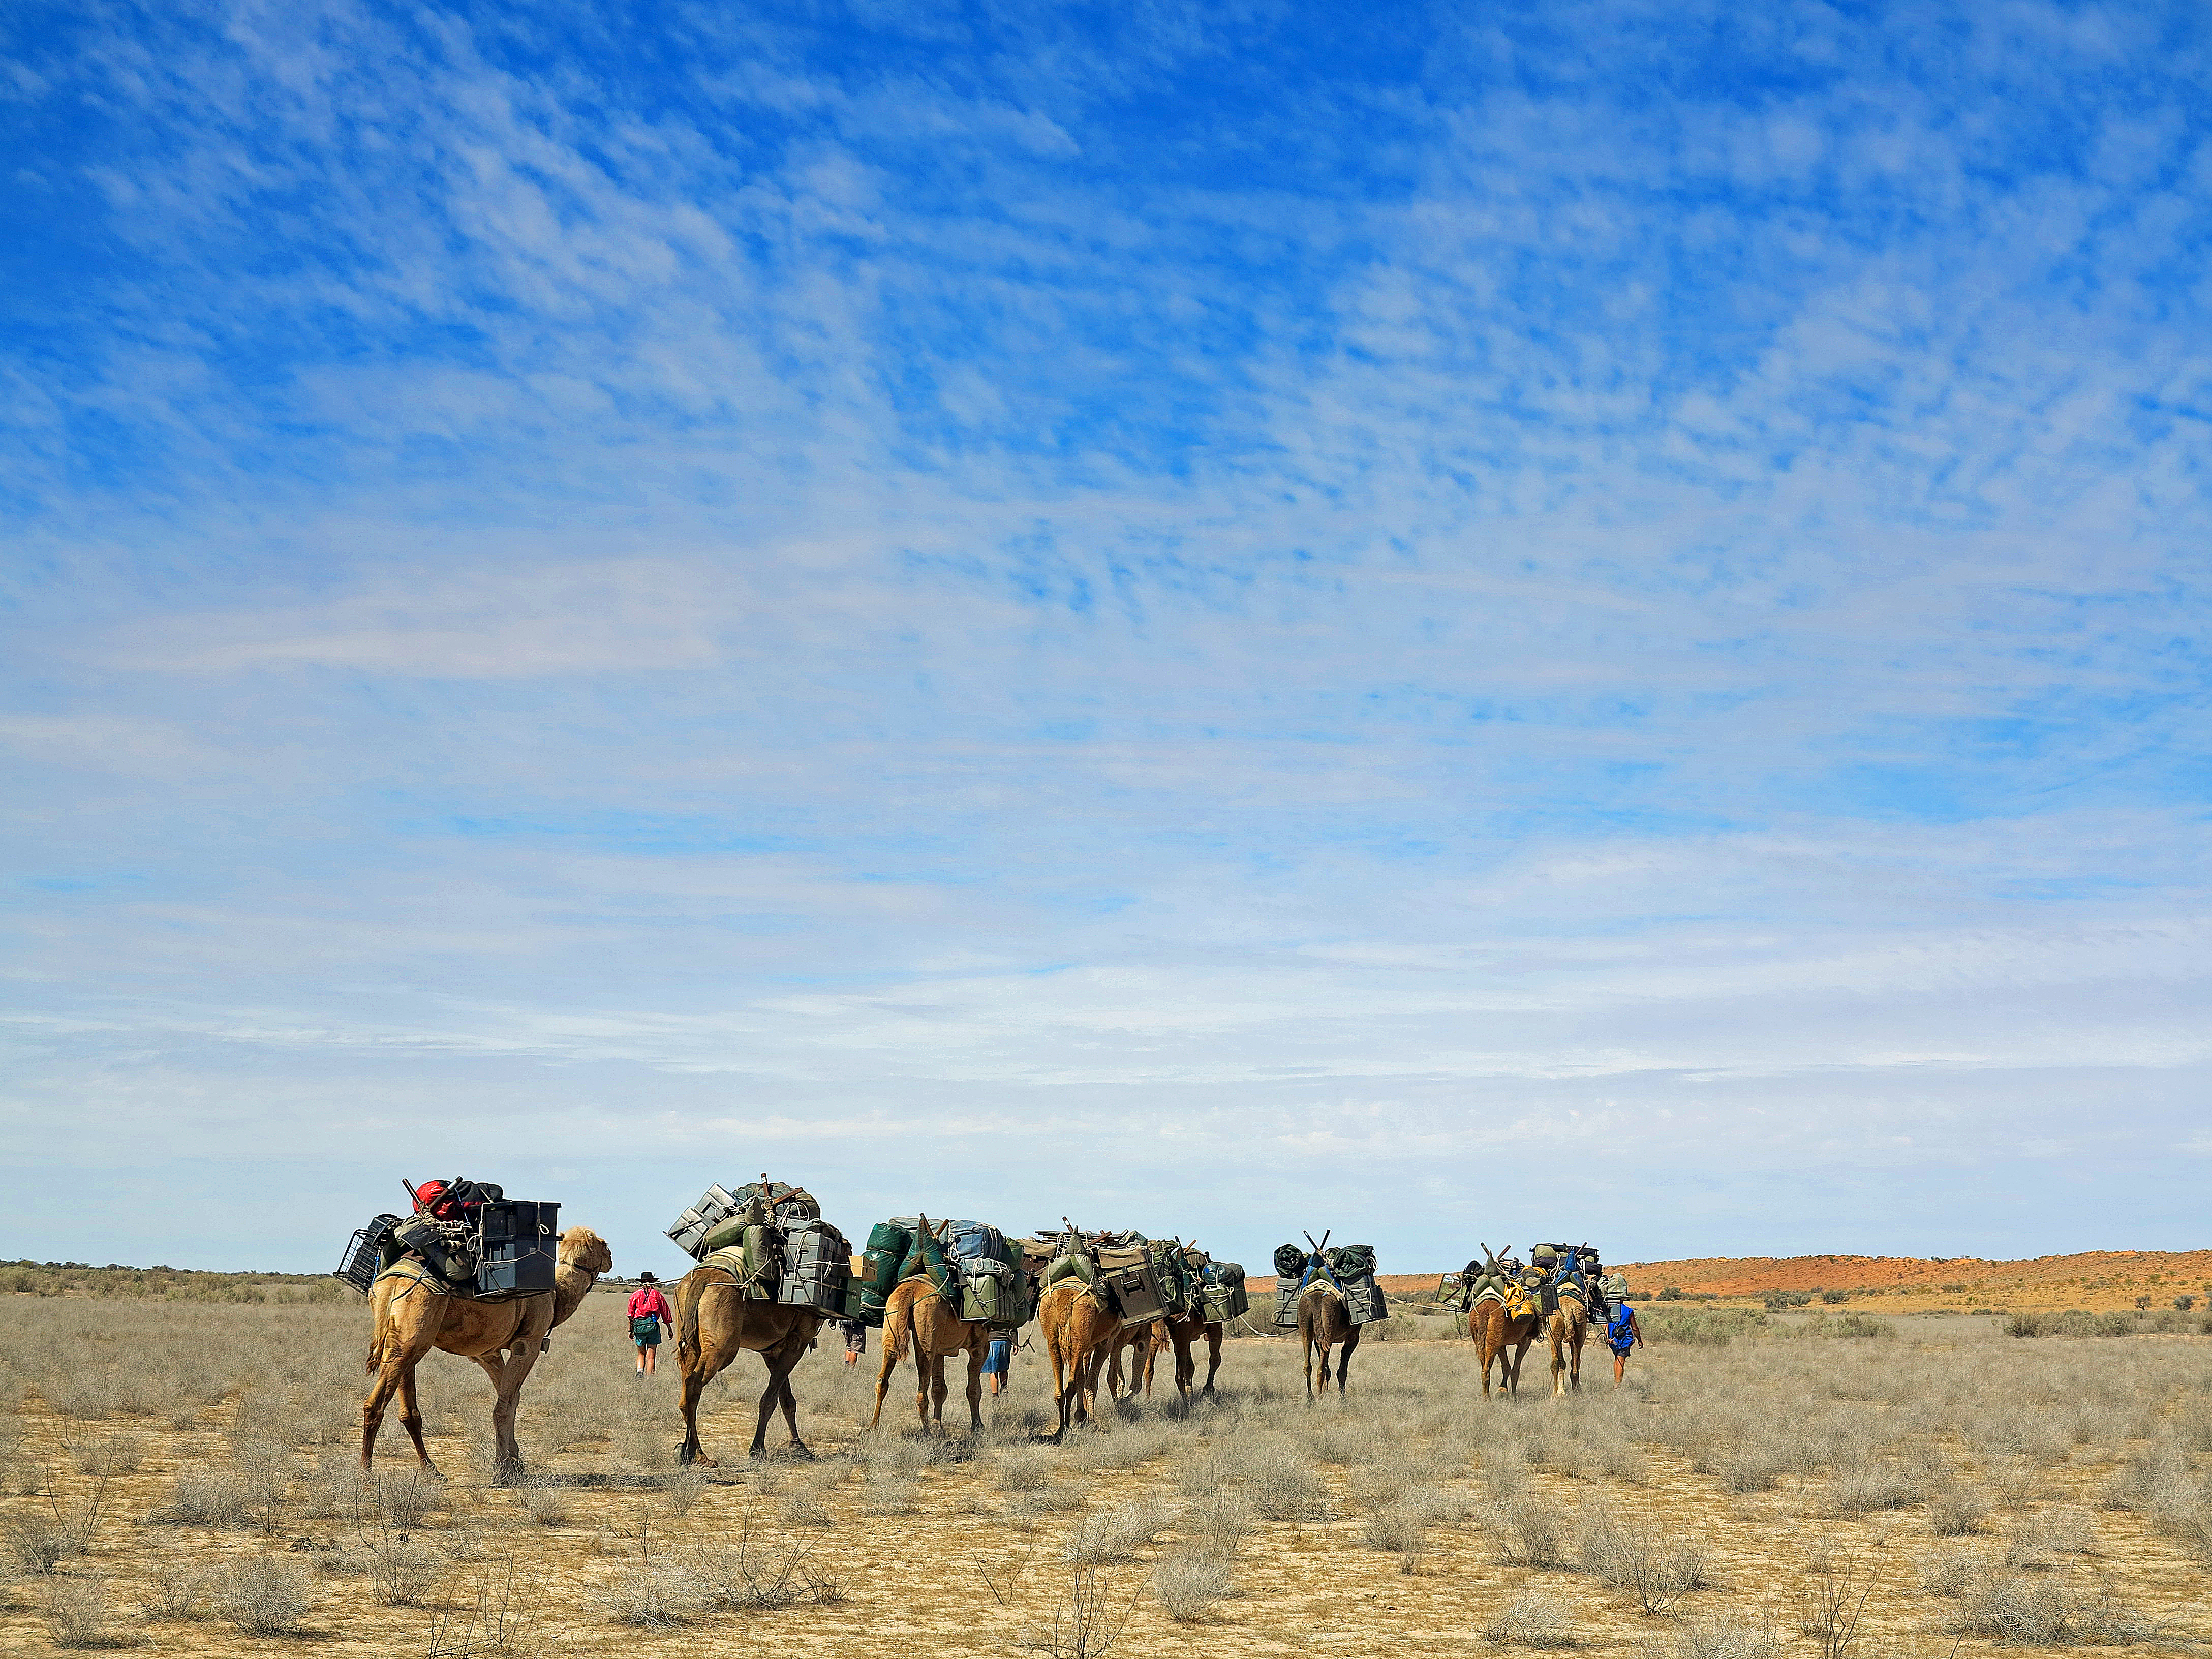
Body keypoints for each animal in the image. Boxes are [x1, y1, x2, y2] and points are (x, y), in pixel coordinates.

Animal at [362, 1226, 612, 1480]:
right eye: (603, 1244)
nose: (611, 1258)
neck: (555, 1295)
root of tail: (392, 1281)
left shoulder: (487, 1354)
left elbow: (512, 1400)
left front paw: (516, 1461)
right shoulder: (528, 1345)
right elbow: (504, 1406)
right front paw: (504, 1468)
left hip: (403, 1339)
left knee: (408, 1409)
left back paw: (431, 1469)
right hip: (415, 1328)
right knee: (375, 1403)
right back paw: (366, 1471)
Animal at [672, 1264, 822, 1466]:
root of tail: (702, 1279)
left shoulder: (772, 1350)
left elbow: (786, 1399)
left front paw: (799, 1447)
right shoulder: (798, 1341)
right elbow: (770, 1399)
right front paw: (758, 1449)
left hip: (688, 1334)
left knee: (685, 1386)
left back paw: (685, 1450)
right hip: (722, 1343)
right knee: (694, 1384)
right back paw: (699, 1454)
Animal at [869, 1275, 991, 1433]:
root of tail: (910, 1290)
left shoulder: (939, 1350)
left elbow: (939, 1389)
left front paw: (938, 1425)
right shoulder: (979, 1345)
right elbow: (974, 1390)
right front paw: (977, 1426)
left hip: (892, 1317)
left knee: (883, 1377)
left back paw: (873, 1425)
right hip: (927, 1327)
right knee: (922, 1384)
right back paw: (926, 1431)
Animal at [1298, 1280, 1361, 1400]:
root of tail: (1317, 1301)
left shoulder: (1318, 1340)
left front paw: (1326, 1390)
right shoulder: (1353, 1337)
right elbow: (1342, 1371)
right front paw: (1342, 1399)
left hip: (1305, 1324)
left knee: (1308, 1366)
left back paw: (1311, 1398)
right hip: (1329, 1324)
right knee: (1321, 1370)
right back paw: (1320, 1397)